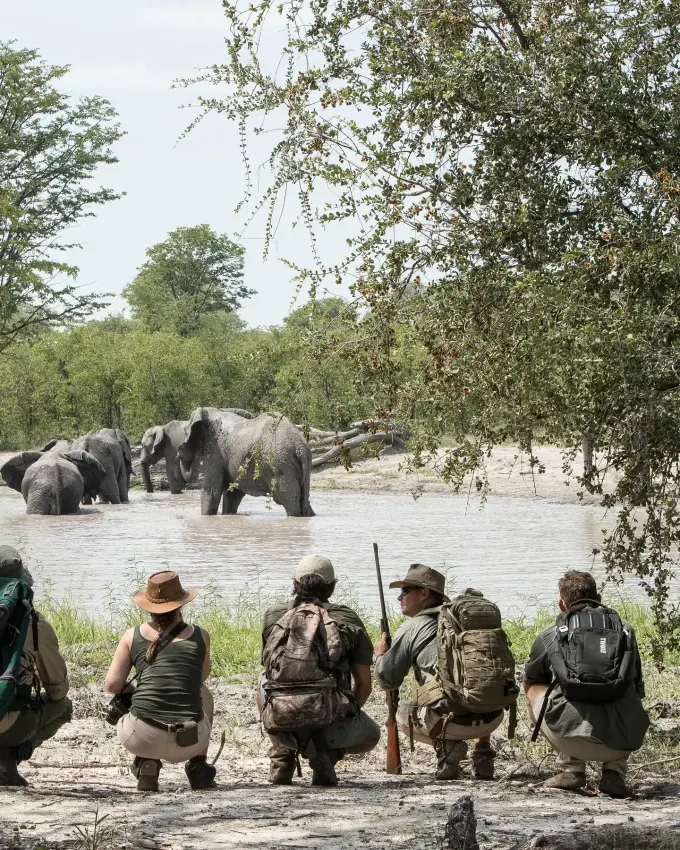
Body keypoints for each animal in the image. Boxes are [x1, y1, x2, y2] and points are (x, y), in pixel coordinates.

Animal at [177, 407, 315, 516]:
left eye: (185, 433)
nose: (179, 454)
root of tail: (300, 446)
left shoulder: (215, 451)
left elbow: (211, 491)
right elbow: (233, 493)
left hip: (280, 463)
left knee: (287, 499)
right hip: (303, 462)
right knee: (304, 499)